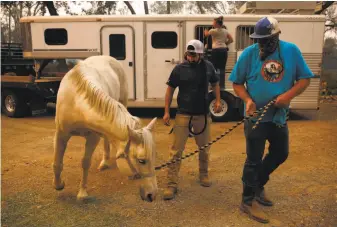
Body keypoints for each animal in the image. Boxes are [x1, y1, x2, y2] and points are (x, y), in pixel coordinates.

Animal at [52, 55, 158, 202]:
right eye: (141, 160)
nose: (152, 194)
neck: (77, 103)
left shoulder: (93, 137)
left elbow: (85, 163)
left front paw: (82, 192)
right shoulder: (61, 134)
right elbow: (57, 163)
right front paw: (59, 185)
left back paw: (105, 162)